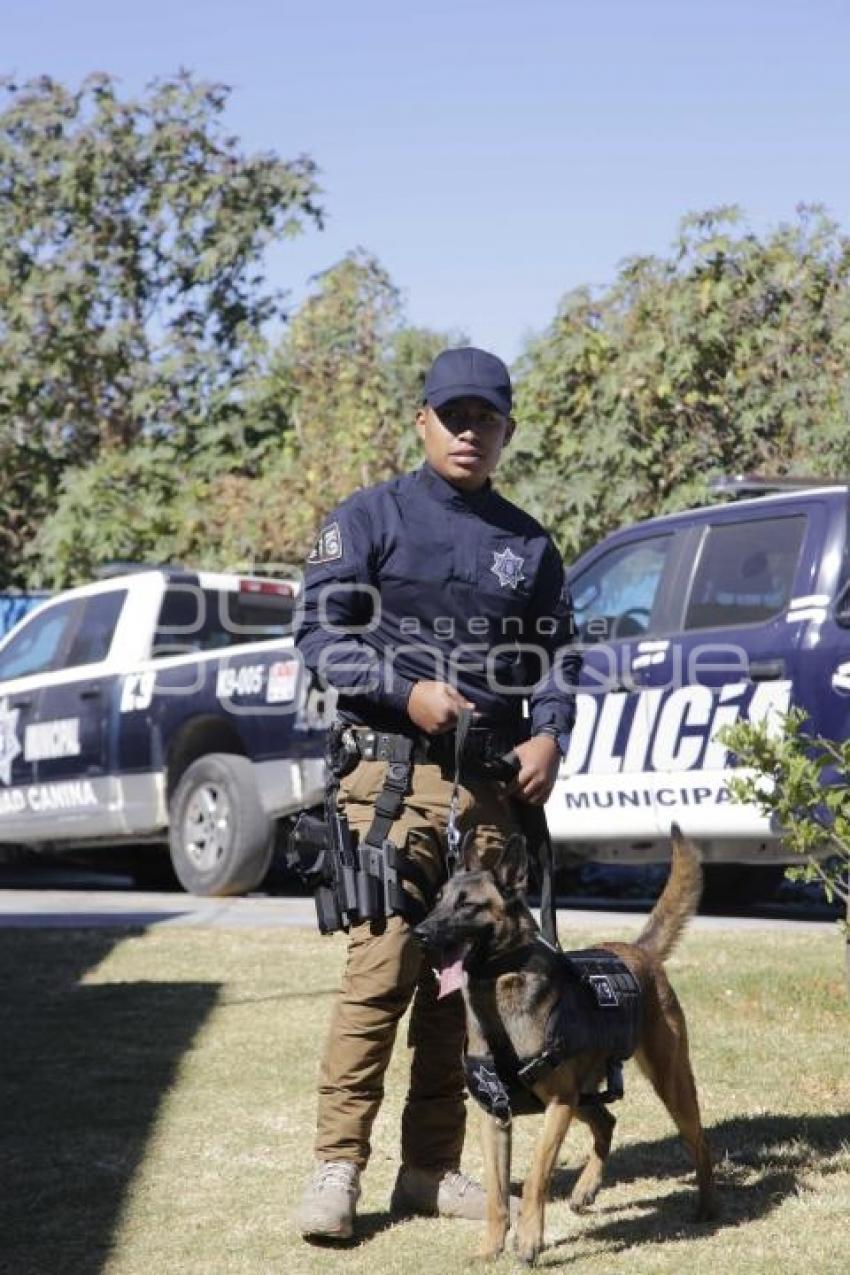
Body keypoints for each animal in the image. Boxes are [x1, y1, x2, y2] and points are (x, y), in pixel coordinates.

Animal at [415, 826, 713, 1264]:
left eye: (468, 905)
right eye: (438, 900)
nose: (419, 933)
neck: (499, 988)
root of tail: (639, 951)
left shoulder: (557, 1105)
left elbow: (536, 1176)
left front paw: (528, 1240)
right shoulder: (495, 1117)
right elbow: (497, 1195)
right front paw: (491, 1248)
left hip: (666, 1085)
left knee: (698, 1140)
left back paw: (708, 1206)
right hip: (583, 1095)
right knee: (607, 1121)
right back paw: (586, 1188)